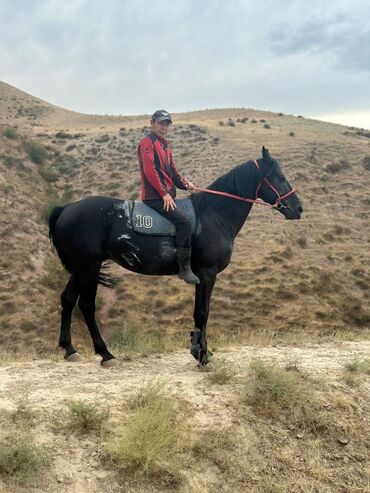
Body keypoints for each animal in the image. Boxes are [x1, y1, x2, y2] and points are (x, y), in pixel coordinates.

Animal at [48, 146, 304, 366]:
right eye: (280, 177)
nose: (298, 208)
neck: (213, 214)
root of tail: (66, 208)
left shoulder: (201, 275)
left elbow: (201, 313)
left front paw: (202, 350)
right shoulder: (207, 273)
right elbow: (202, 313)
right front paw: (201, 356)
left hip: (80, 268)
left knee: (67, 299)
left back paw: (69, 349)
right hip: (88, 267)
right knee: (86, 305)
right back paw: (105, 353)